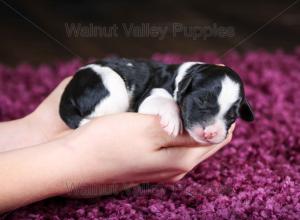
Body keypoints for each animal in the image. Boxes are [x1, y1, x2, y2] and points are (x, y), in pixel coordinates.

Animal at [59, 58, 254, 144]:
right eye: (201, 101)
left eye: (232, 116)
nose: (211, 133)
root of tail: (67, 92)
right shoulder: (152, 93)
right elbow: (165, 101)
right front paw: (174, 121)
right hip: (111, 85)